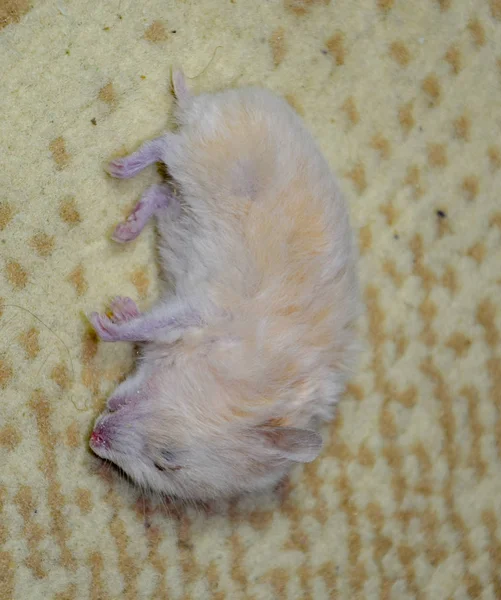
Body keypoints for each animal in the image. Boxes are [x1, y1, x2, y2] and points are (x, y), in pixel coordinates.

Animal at [88, 70, 358, 502]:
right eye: (168, 460)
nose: (93, 438)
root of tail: (225, 100)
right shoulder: (202, 314)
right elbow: (149, 325)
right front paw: (102, 319)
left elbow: (145, 327)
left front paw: (120, 307)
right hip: (199, 156)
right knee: (166, 144)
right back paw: (119, 168)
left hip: (182, 212)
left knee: (161, 191)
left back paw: (125, 228)